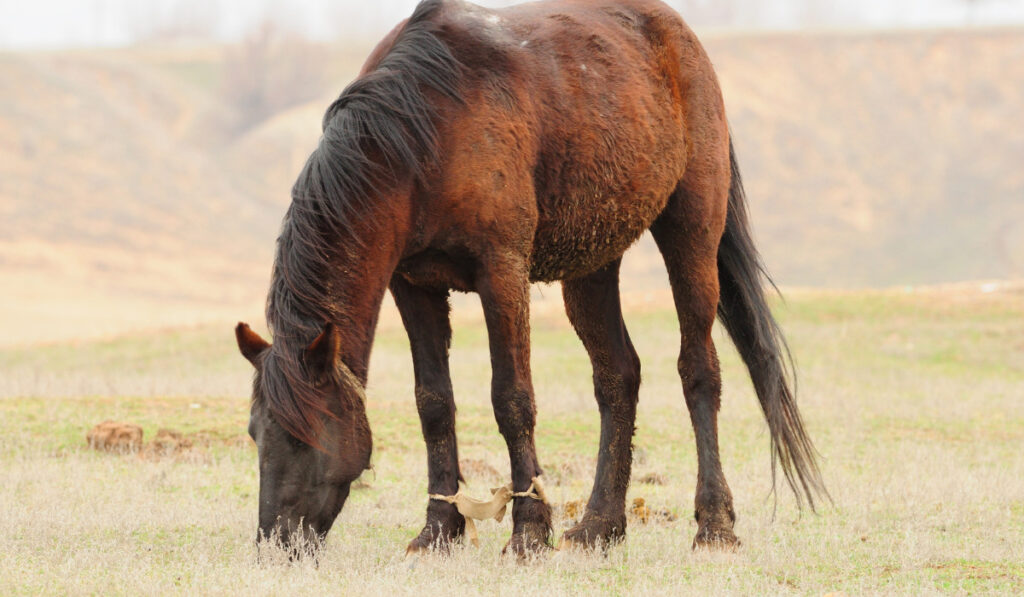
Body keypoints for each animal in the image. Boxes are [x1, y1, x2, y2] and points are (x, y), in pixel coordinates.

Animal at [235, 0, 827, 557]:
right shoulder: (414, 284)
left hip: (692, 233)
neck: (424, 131)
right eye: (255, 433)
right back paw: (599, 526)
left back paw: (714, 525)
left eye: (307, 435)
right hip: (592, 264)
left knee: (699, 369)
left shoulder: (503, 271)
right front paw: (439, 530)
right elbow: (434, 403)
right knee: (618, 378)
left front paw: (529, 532)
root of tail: (680, 37)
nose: (276, 542)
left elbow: (512, 399)